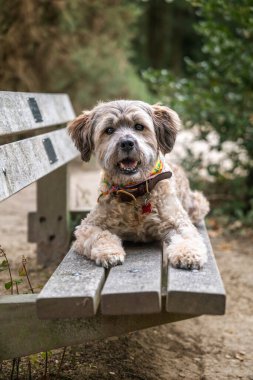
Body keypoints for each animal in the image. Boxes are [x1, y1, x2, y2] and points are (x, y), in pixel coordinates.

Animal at [67, 99, 210, 268]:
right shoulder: (88, 225)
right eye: (109, 130)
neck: (133, 191)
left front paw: (188, 254)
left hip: (199, 204)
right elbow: (100, 235)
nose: (127, 143)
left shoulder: (178, 222)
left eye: (139, 126)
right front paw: (109, 252)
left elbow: (187, 236)